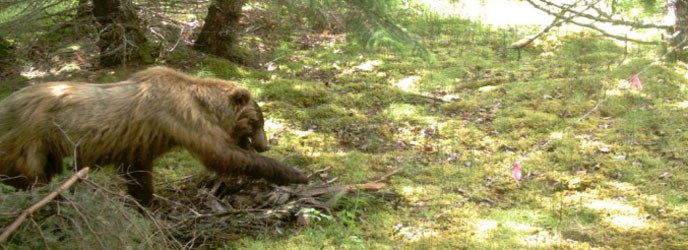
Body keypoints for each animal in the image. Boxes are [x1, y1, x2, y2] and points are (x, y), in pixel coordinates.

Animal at [0, 66, 306, 205]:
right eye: (257, 122)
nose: (264, 146)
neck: (203, 103)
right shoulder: (182, 117)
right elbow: (221, 154)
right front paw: (294, 173)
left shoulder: (139, 144)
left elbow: (139, 174)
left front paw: (147, 202)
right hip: (30, 142)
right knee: (30, 179)